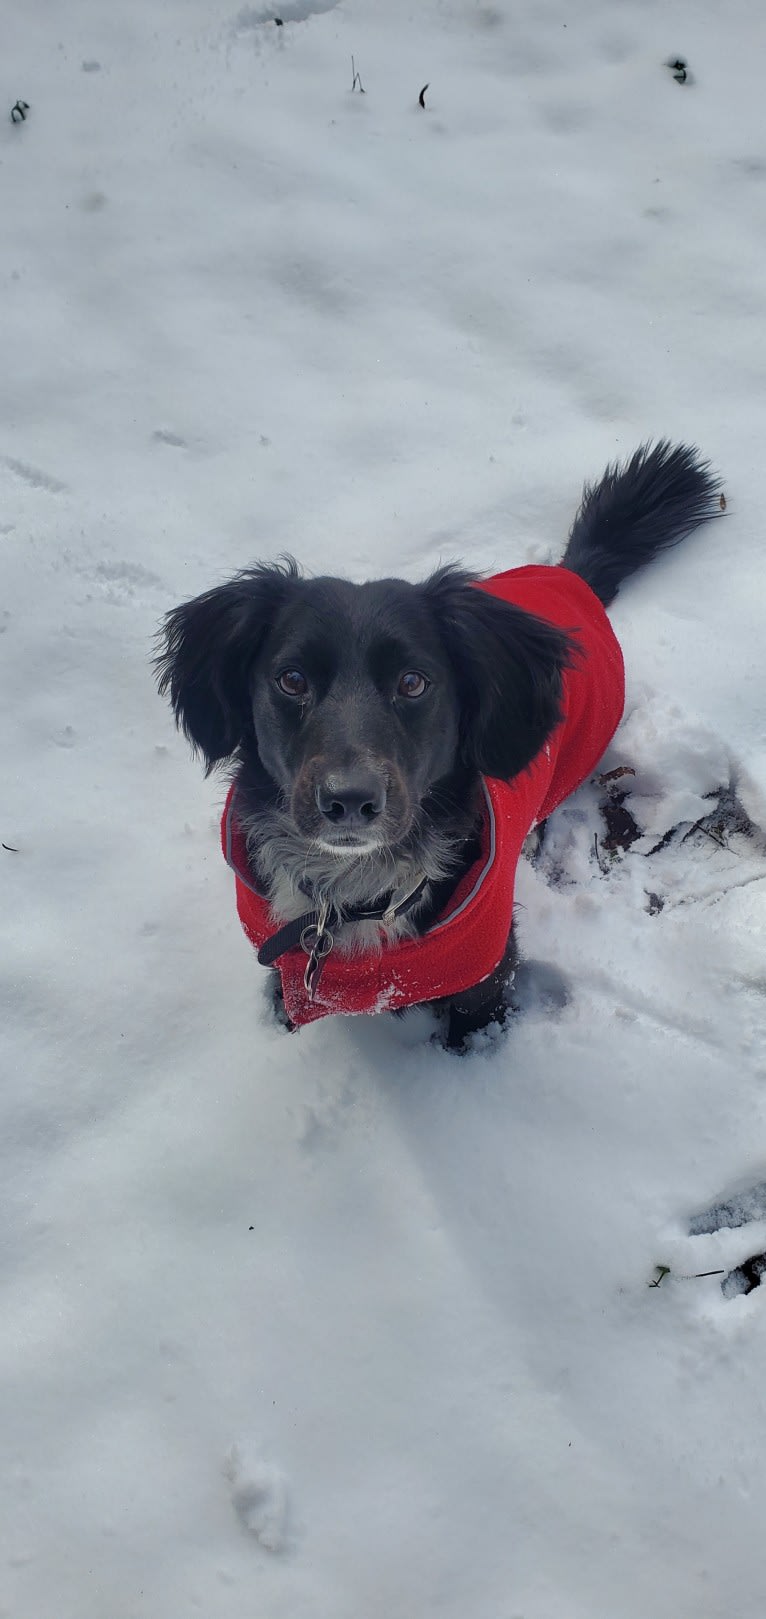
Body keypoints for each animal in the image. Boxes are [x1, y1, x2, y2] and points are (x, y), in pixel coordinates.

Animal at [157, 443, 719, 1049]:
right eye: (291, 679)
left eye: (412, 682)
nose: (348, 801)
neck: (351, 897)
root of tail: (570, 576)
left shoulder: (486, 975)